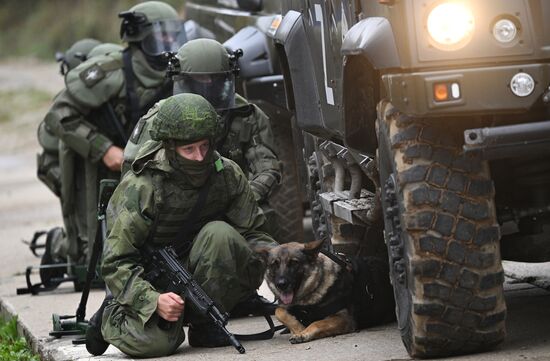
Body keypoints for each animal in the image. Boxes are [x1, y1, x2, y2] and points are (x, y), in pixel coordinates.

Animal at [262, 239, 396, 344]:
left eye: (294, 263)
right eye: (274, 264)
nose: (281, 285)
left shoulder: (344, 319)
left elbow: (317, 323)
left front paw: (302, 333)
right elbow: (279, 311)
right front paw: (298, 328)